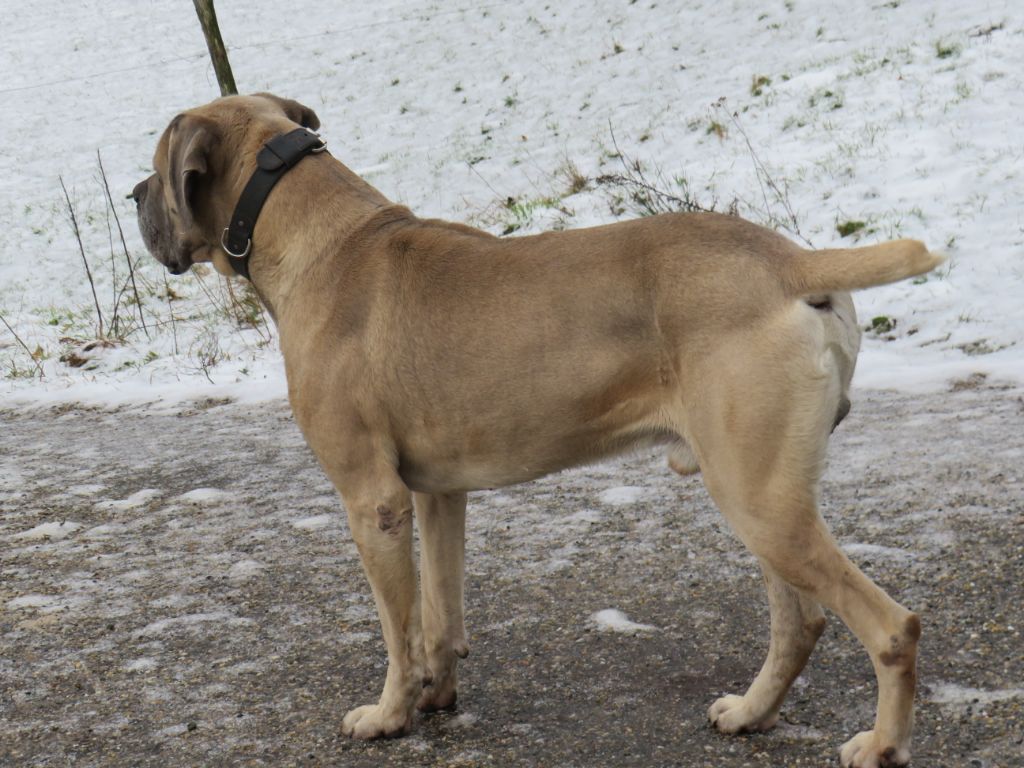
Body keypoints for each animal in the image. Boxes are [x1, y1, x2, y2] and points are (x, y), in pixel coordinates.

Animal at [136, 93, 942, 765]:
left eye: (157, 164)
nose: (135, 194)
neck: (317, 232)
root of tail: (791, 262)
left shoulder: (374, 502)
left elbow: (398, 628)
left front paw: (390, 714)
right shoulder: (437, 493)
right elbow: (439, 611)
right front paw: (436, 694)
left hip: (758, 496)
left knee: (889, 627)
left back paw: (880, 745)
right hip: (764, 498)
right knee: (799, 621)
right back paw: (750, 713)